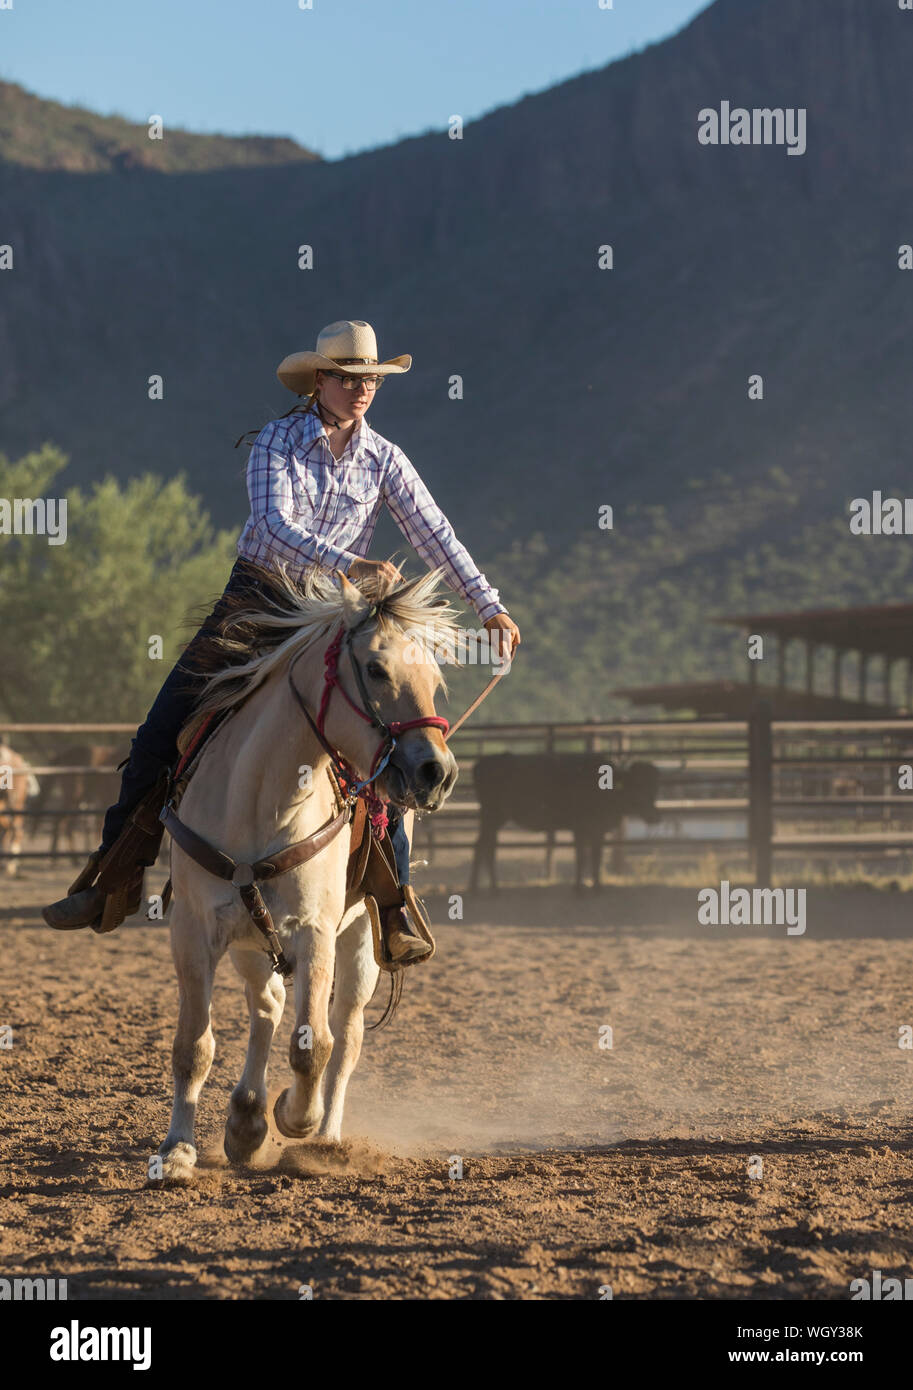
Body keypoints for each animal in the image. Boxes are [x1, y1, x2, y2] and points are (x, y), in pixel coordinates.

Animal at [154, 564, 464, 1184]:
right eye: (375, 667)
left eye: (433, 678)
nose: (437, 772)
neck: (261, 803)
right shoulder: (194, 932)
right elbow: (193, 1045)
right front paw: (178, 1149)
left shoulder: (316, 931)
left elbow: (312, 1046)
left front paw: (296, 1117)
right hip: (250, 942)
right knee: (267, 1005)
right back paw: (246, 1120)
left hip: (363, 937)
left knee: (345, 1034)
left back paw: (322, 1136)